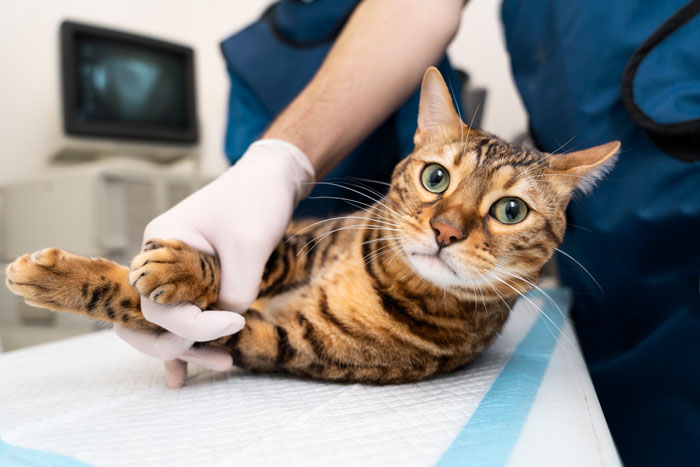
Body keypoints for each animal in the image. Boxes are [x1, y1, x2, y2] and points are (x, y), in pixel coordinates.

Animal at [4, 68, 616, 384]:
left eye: (510, 211)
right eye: (436, 178)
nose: (445, 231)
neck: (385, 280)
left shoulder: (278, 340)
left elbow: (154, 309)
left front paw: (56, 279)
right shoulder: (301, 242)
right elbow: (252, 260)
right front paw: (182, 266)